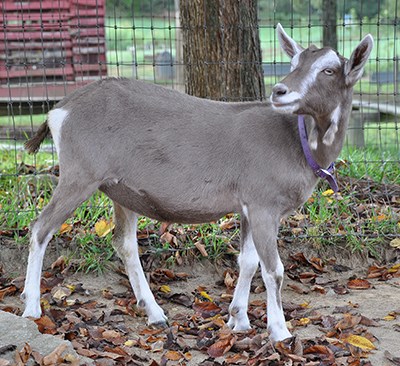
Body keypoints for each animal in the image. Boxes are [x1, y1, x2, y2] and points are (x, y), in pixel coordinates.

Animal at [21, 24, 372, 342]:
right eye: (294, 63)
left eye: (328, 70)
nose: (279, 91)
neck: (298, 143)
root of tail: (59, 111)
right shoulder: (264, 204)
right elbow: (273, 270)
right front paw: (280, 332)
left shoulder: (248, 205)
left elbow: (247, 261)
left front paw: (238, 319)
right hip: (79, 174)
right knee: (40, 228)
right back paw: (31, 307)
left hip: (120, 189)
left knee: (123, 242)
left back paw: (154, 313)